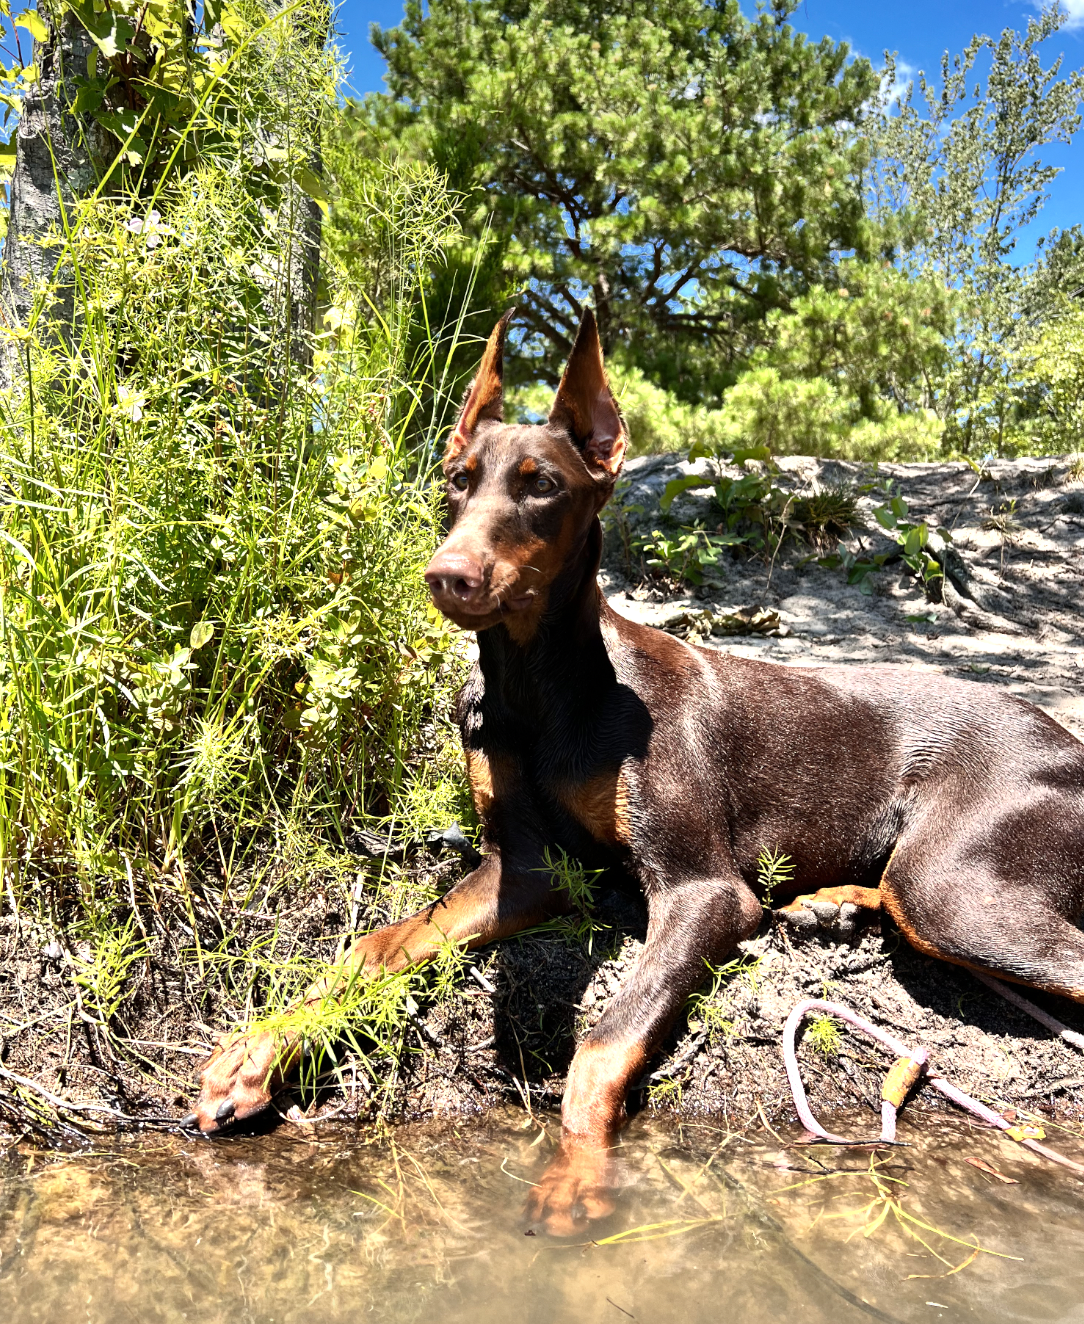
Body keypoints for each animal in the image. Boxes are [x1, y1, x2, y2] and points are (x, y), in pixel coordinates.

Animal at [193, 307, 1084, 1228]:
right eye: (456, 479)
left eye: (542, 485)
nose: (448, 576)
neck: (540, 688)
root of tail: (1062, 732)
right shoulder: (523, 868)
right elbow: (372, 948)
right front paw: (257, 1052)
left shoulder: (703, 891)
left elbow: (600, 1041)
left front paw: (578, 1173)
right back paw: (830, 904)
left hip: (951, 888)